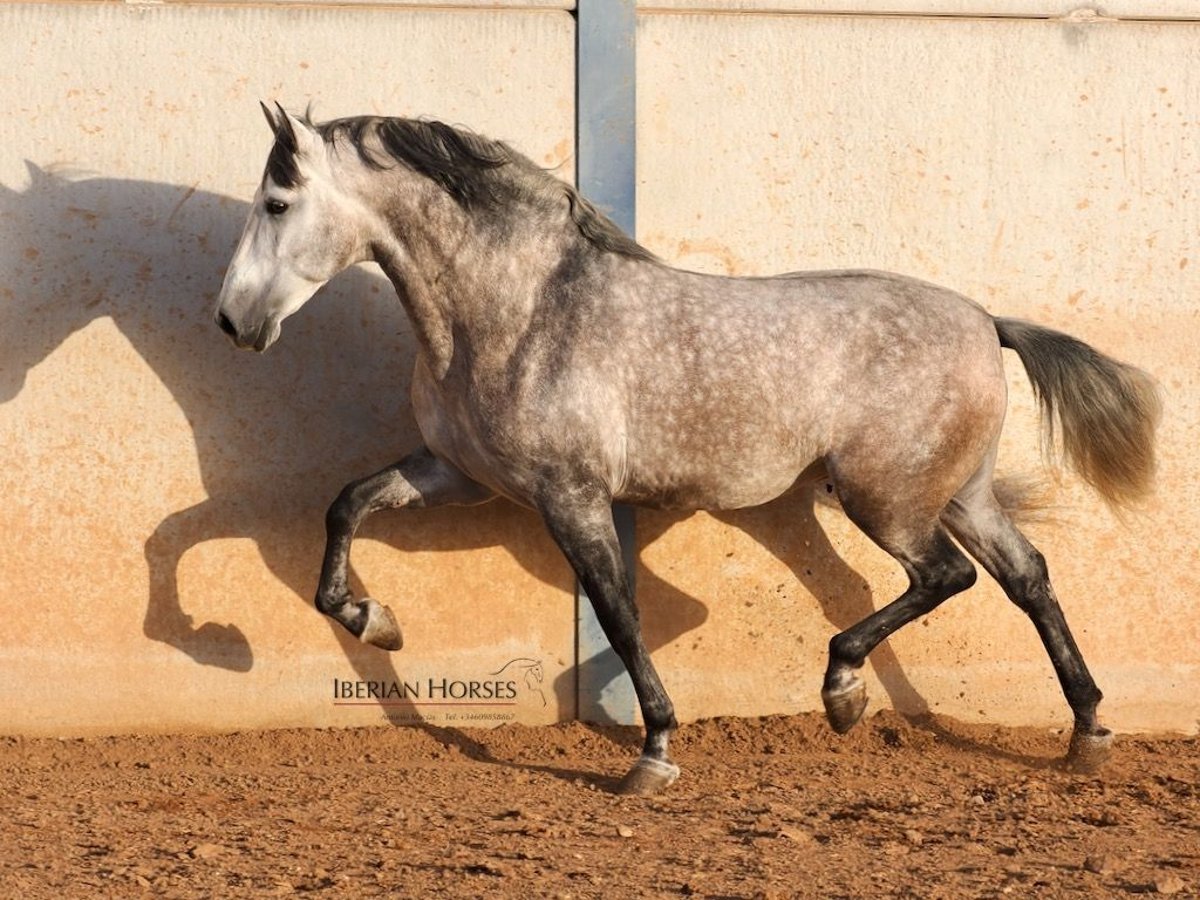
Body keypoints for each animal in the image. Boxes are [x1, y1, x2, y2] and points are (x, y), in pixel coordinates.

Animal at [215, 103, 1160, 796]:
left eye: (276, 204)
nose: (233, 321)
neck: (520, 313)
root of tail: (985, 320)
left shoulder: (571, 495)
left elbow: (621, 613)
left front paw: (654, 752)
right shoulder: (455, 473)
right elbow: (344, 505)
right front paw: (372, 621)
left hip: (885, 499)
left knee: (944, 578)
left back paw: (844, 692)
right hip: (957, 495)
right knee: (1027, 576)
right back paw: (1088, 733)